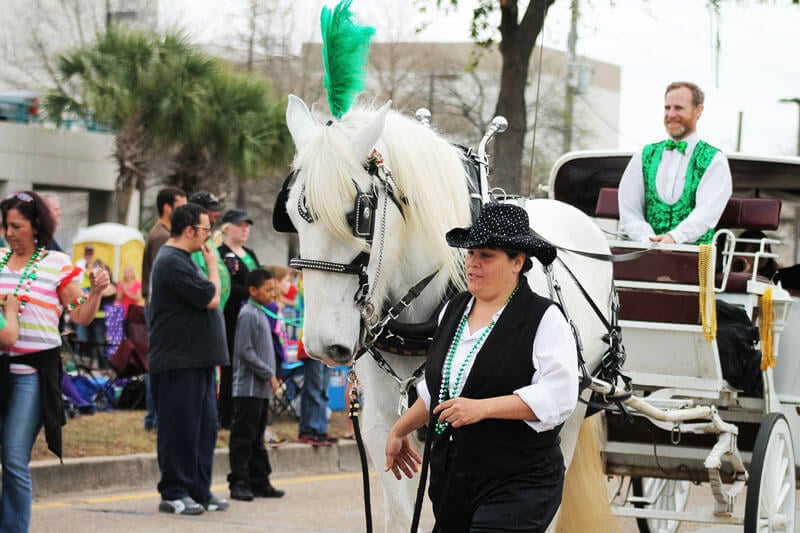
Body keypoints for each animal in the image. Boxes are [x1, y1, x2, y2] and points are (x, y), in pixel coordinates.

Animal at [284, 93, 616, 528]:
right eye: (291, 215)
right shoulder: (382, 424)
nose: (324, 345)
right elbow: (400, 511)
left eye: (360, 216)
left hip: (572, 410)